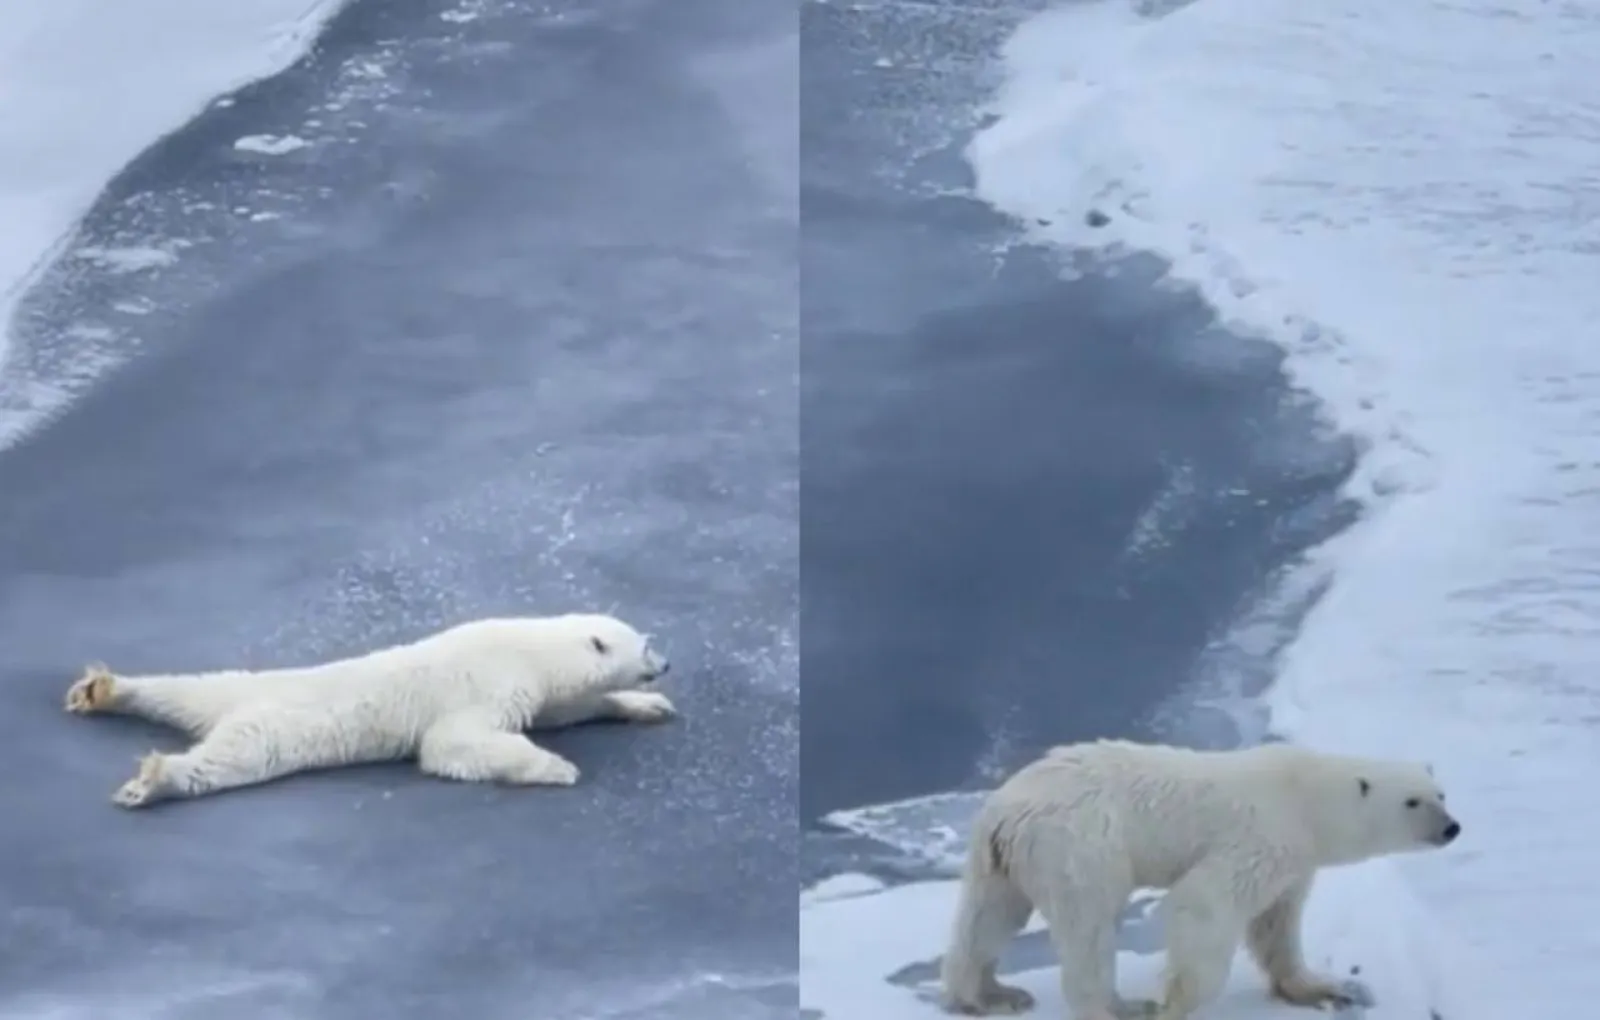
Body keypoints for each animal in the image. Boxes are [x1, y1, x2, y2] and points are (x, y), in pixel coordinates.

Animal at [60, 610, 675, 812]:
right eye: (646, 645)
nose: (666, 663)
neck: (528, 648)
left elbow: (565, 710)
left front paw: (651, 706)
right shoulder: (489, 683)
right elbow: (453, 744)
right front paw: (558, 767)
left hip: (224, 690)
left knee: (180, 689)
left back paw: (102, 688)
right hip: (273, 730)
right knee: (227, 762)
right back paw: (152, 781)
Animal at [934, 741, 1465, 1020]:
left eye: (1441, 793)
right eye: (1412, 802)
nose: (1451, 828)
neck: (1304, 797)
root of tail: (1003, 809)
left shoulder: (1294, 861)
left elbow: (1277, 923)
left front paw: (1322, 988)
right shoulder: (1262, 835)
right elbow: (1206, 902)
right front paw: (1176, 1002)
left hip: (1004, 858)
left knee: (988, 917)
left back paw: (989, 994)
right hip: (1082, 843)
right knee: (1089, 924)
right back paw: (1121, 1006)